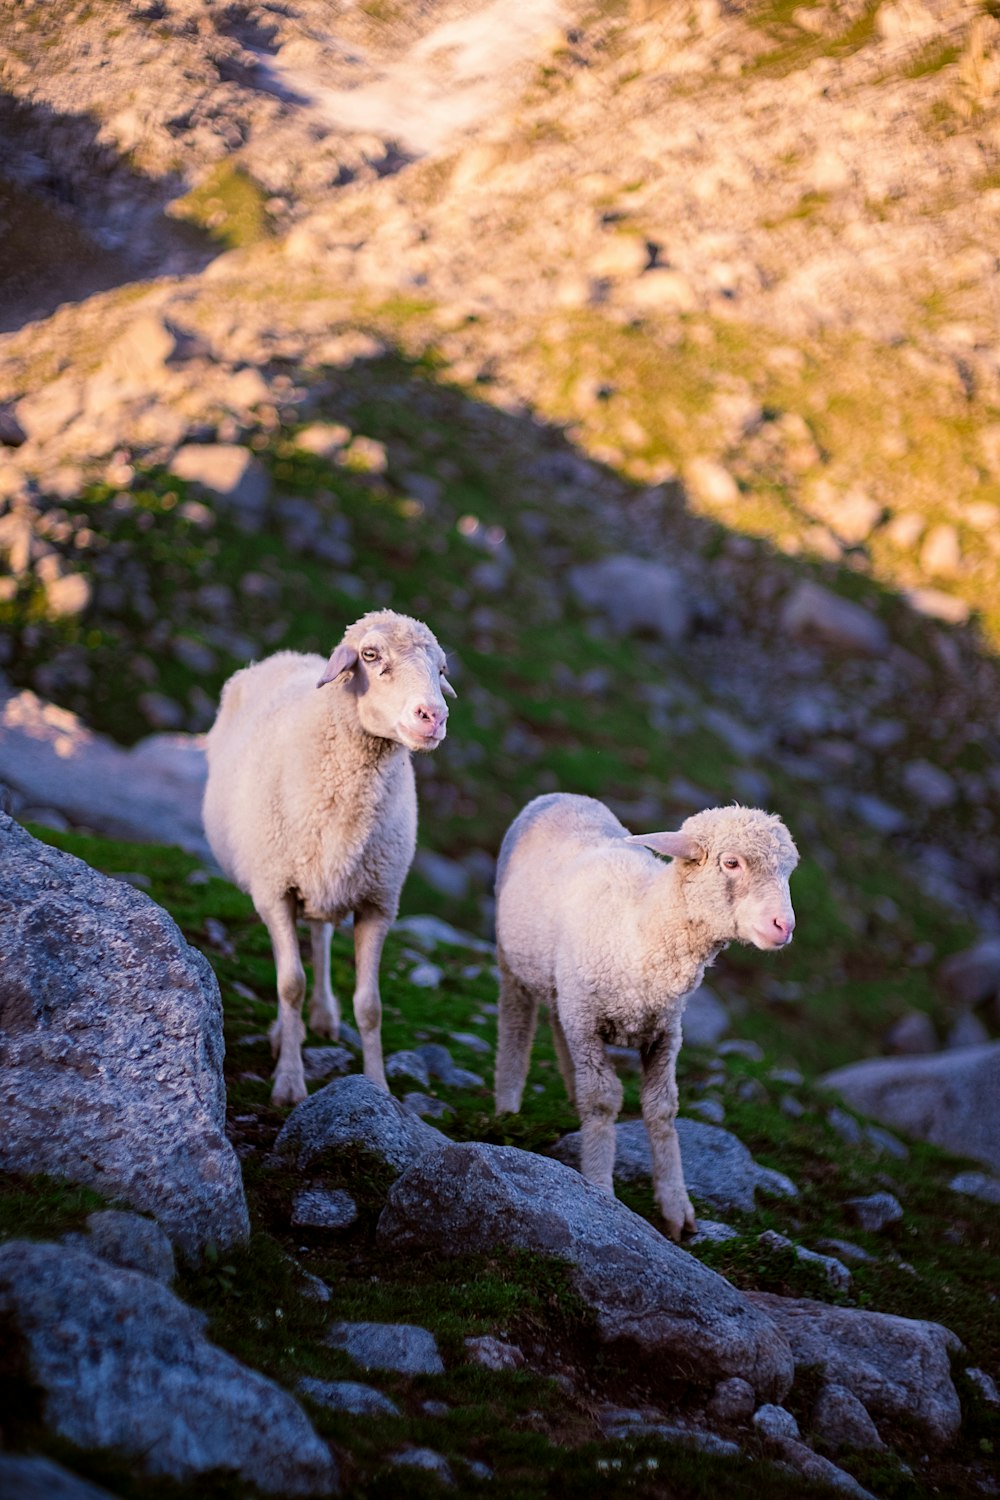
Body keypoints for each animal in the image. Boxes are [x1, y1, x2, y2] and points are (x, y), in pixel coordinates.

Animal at [200, 603, 455, 1110]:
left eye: (440, 670)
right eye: (371, 655)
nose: (433, 716)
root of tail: (289, 654)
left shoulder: (378, 901)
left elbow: (370, 1006)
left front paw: (378, 1088)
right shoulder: (275, 890)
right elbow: (288, 985)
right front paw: (288, 1082)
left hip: (327, 876)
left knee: (319, 934)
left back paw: (320, 1016)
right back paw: (288, 1031)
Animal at [497, 792, 803, 1236]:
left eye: (788, 870)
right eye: (731, 863)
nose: (784, 926)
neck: (641, 926)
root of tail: (563, 796)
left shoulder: (665, 1033)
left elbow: (662, 1108)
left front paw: (676, 1206)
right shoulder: (586, 1025)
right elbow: (603, 1100)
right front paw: (600, 1188)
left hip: (563, 985)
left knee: (556, 1022)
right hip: (513, 962)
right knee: (516, 1025)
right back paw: (506, 1106)